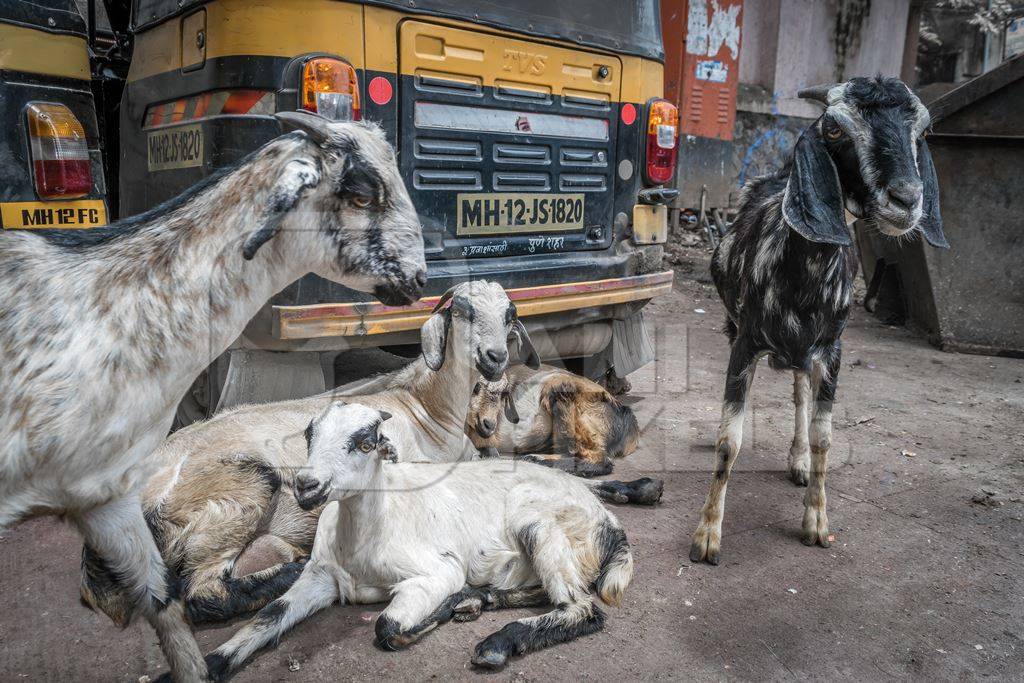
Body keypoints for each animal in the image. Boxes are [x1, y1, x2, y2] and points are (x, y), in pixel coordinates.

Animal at [2, 109, 425, 679]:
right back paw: (286, 573)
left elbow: (164, 607)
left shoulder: (102, 494)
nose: (419, 278)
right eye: (360, 194)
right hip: (240, 490)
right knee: (204, 592)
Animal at [466, 366, 663, 505]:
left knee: (600, 460)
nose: (489, 425)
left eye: (503, 394)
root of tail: (625, 414)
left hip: (559, 389)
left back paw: (536, 459)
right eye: (476, 387)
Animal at [688, 76, 942, 565]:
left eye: (923, 131)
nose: (906, 200)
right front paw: (706, 536)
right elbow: (730, 439)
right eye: (836, 129)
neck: (802, 277)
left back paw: (799, 462)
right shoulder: (745, 343)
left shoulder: (831, 350)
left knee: (800, 395)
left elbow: (824, 436)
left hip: (809, 352)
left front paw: (817, 523)